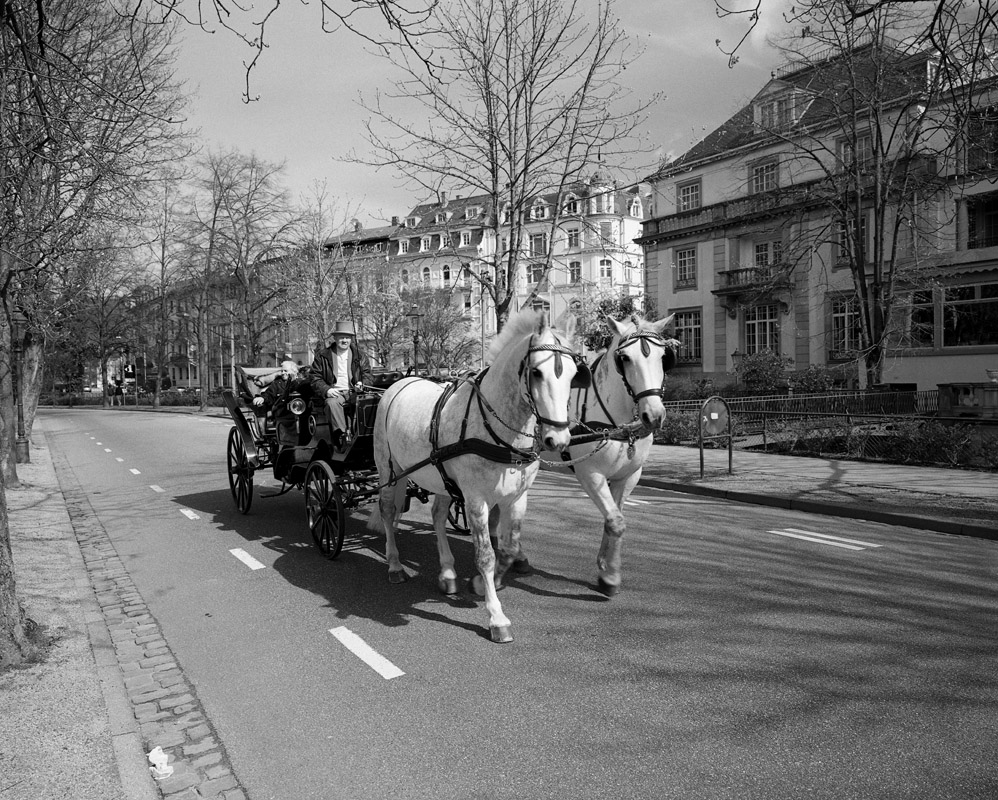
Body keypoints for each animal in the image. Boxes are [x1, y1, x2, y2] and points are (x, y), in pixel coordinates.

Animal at [368, 308, 584, 644]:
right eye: (536, 372)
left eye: (574, 375)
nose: (557, 440)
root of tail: (396, 383)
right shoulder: (475, 500)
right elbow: (485, 554)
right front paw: (496, 617)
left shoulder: (517, 497)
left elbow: (508, 549)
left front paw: (482, 584)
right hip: (390, 469)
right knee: (389, 512)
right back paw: (394, 565)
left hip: (439, 477)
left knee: (437, 515)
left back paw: (447, 572)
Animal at [544, 312, 684, 592]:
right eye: (625, 358)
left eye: (663, 357)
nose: (654, 415)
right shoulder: (590, 473)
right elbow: (615, 520)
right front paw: (609, 577)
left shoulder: (628, 476)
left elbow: (615, 518)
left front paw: (607, 565)